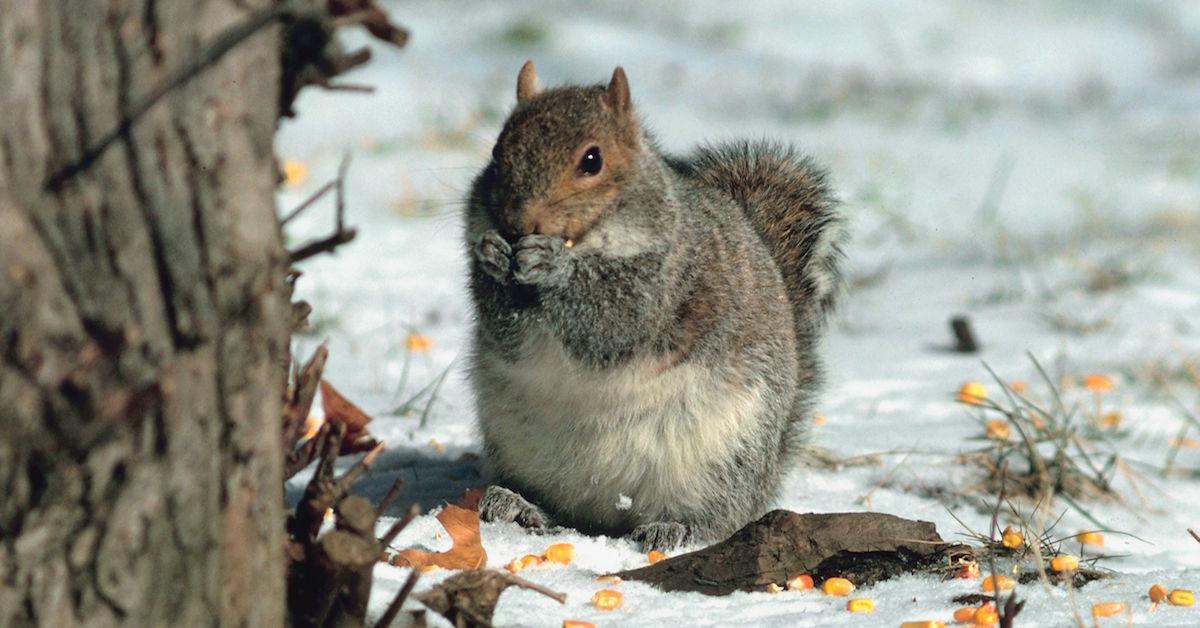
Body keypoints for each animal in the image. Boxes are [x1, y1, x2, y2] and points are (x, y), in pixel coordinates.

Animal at [465, 61, 844, 551]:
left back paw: (676, 526)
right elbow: (503, 327)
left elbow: (614, 323)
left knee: (720, 516)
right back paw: (518, 504)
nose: (515, 225)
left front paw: (552, 266)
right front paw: (491, 257)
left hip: (724, 458)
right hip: (516, 442)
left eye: (593, 160)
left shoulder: (671, 282)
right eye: (496, 150)